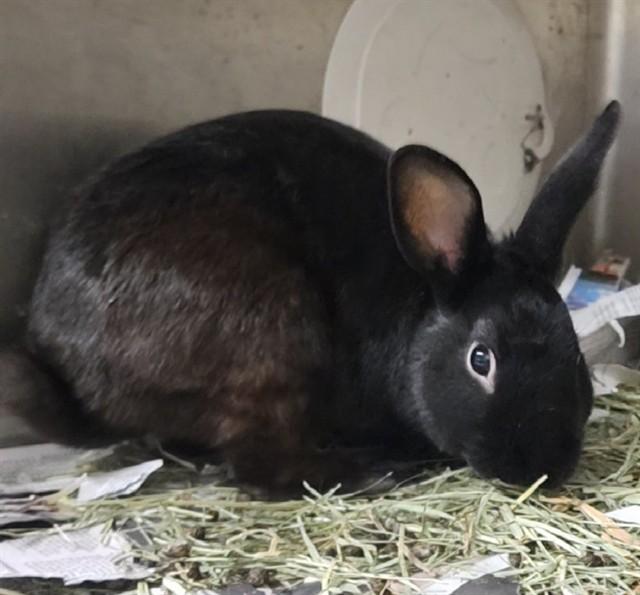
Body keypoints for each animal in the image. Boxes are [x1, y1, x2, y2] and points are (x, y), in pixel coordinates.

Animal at [0, 100, 620, 494]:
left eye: (576, 355)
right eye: (480, 359)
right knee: (262, 466)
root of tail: (73, 373)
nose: (542, 467)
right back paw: (370, 474)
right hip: (272, 338)